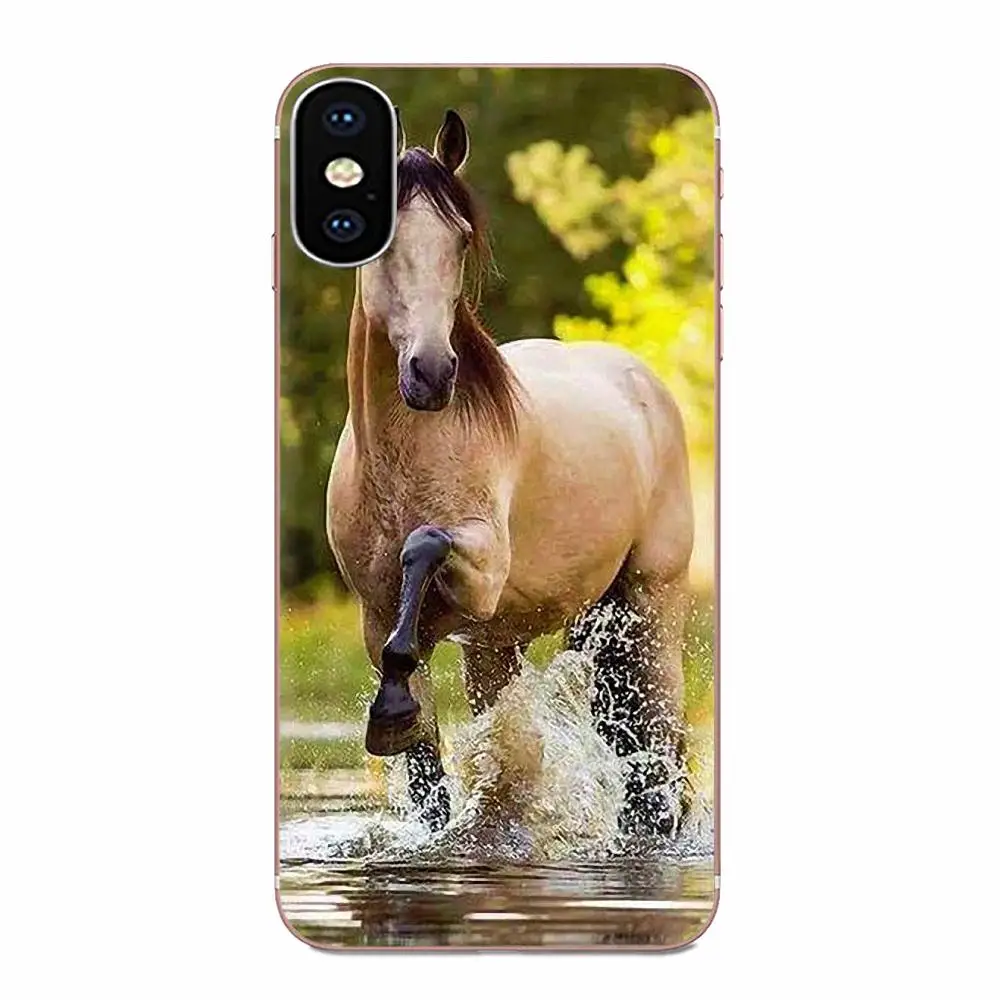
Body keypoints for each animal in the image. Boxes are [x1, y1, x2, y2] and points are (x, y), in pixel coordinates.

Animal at [326, 109, 694, 833]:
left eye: (461, 238)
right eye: (380, 243)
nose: (432, 374)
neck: (403, 462)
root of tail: (642, 380)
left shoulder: (482, 575)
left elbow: (424, 543)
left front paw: (389, 713)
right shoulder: (378, 620)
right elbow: (429, 780)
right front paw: (395, 717)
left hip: (649, 611)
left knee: (658, 759)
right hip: (500, 646)